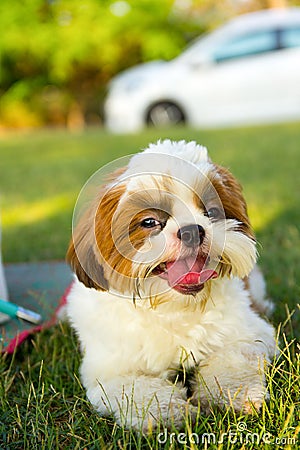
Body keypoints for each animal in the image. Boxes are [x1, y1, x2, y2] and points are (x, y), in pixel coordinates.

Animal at [66, 140, 276, 432]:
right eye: (150, 222)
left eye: (211, 212)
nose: (192, 230)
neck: (174, 308)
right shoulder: (109, 370)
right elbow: (137, 390)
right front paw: (169, 411)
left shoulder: (250, 334)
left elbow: (233, 360)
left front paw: (233, 394)